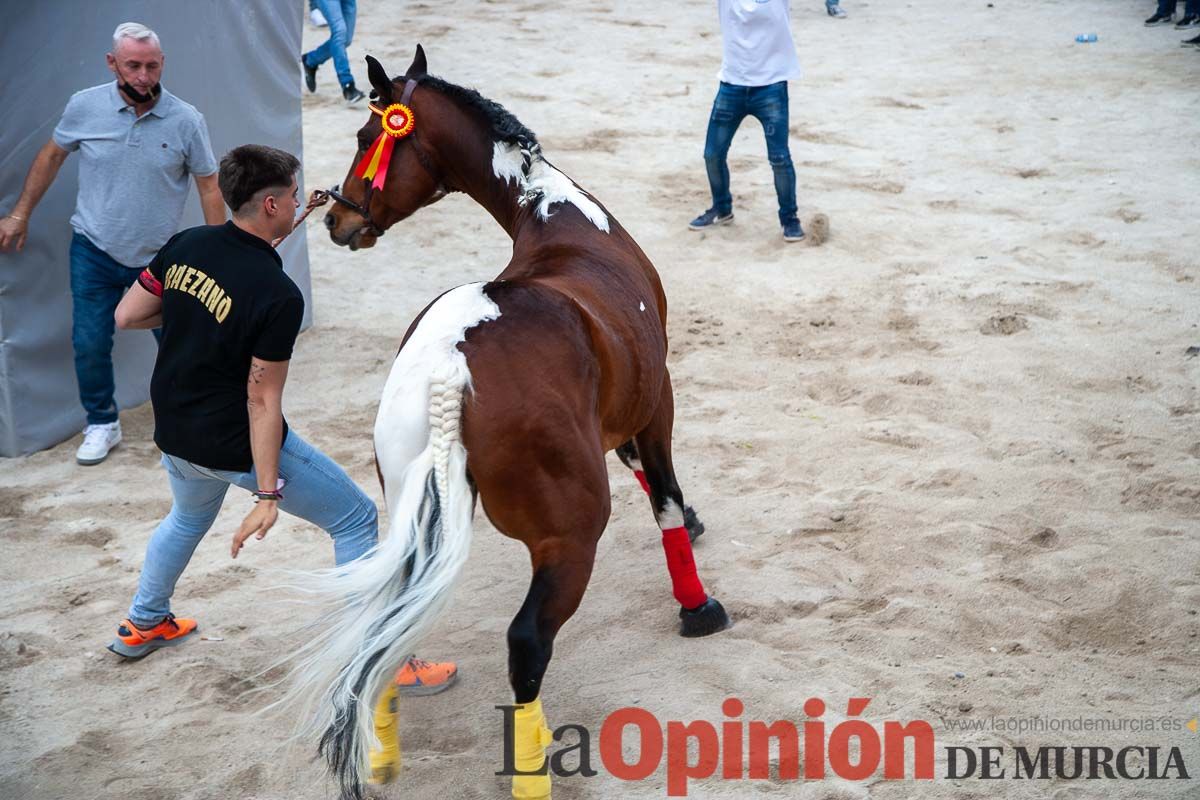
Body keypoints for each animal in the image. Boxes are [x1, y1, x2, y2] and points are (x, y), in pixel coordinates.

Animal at [290, 48, 729, 800]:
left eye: (365, 137)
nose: (337, 222)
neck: (557, 217)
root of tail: (449, 364)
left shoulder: (619, 414)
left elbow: (648, 476)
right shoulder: (656, 399)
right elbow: (664, 494)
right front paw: (697, 607)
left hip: (413, 517)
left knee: (385, 631)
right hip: (568, 533)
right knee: (526, 640)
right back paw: (534, 767)